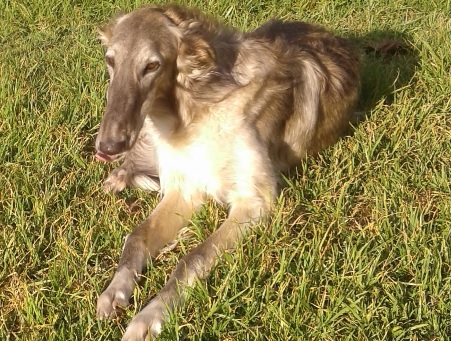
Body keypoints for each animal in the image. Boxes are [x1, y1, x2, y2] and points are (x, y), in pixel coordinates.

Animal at [94, 3, 360, 338]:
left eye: (152, 65)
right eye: (110, 60)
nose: (107, 146)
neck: (194, 110)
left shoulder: (254, 202)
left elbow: (191, 258)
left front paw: (149, 315)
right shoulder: (184, 189)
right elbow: (137, 237)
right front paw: (115, 290)